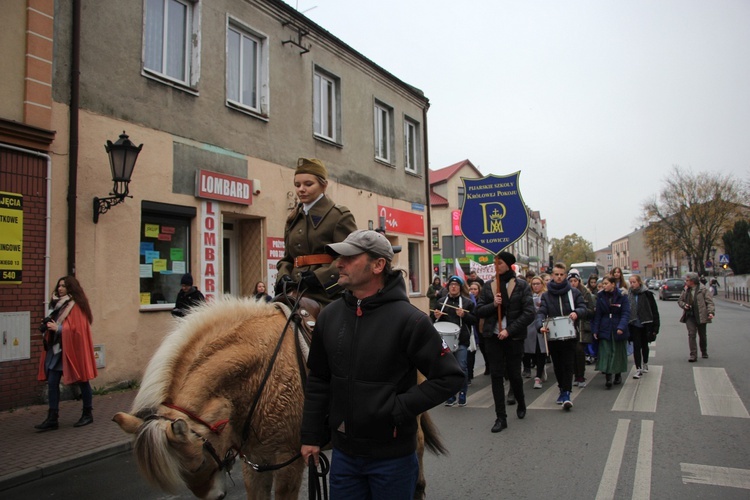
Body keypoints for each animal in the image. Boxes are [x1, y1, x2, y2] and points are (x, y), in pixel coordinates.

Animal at [113, 294, 446, 498]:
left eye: (194, 465)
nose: (215, 496)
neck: (259, 374)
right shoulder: (255, 463)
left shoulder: (288, 461)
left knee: (414, 449)